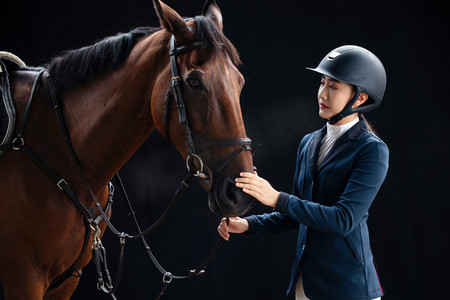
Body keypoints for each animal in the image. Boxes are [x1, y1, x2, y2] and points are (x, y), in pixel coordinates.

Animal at [0, 1, 253, 298]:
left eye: (239, 82)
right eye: (193, 82)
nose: (239, 192)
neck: (55, 145)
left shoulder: (66, 280)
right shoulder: (23, 278)